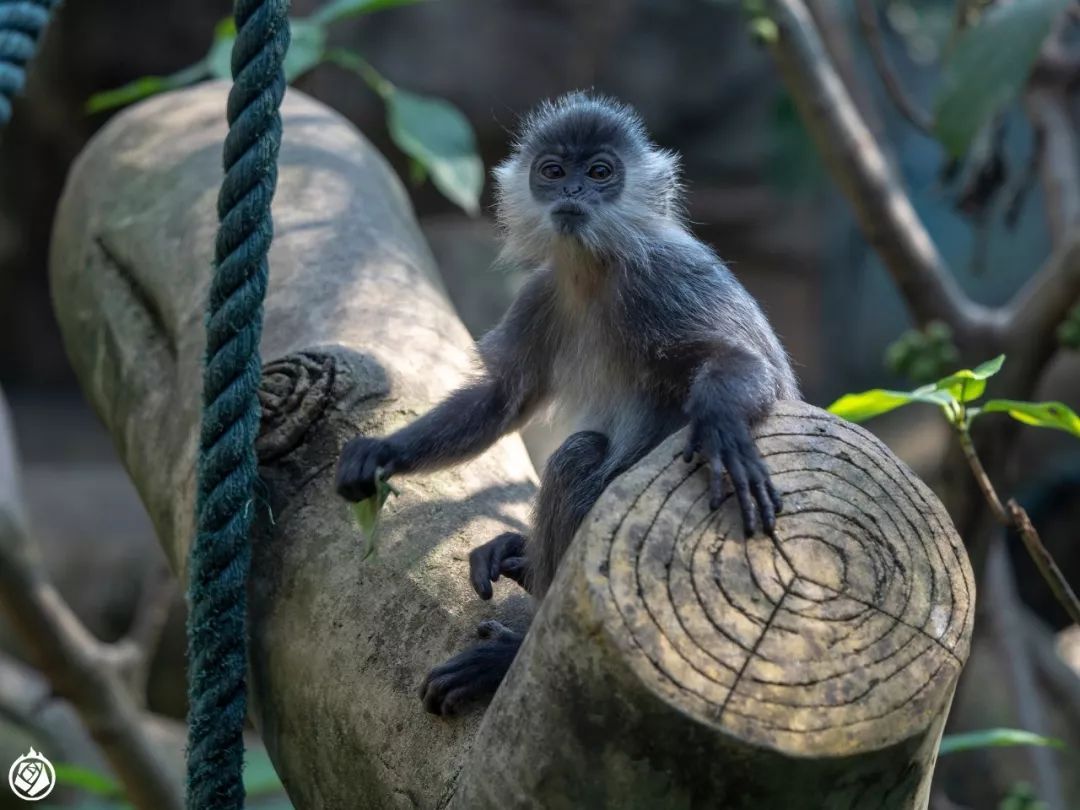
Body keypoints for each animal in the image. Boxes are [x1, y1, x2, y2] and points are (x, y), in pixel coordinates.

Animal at [336, 91, 803, 721]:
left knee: (578, 454)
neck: (597, 270)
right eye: (553, 171)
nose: (574, 191)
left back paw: (508, 651)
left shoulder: (672, 276)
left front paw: (727, 431)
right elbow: (502, 398)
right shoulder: (544, 292)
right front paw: (380, 453)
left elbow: (756, 368)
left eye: (601, 172)